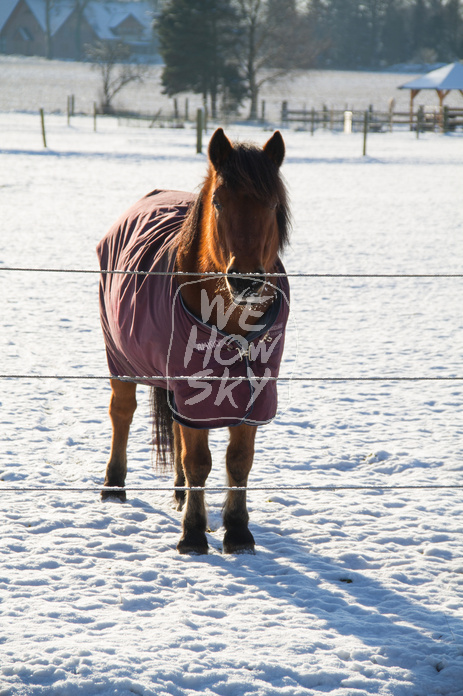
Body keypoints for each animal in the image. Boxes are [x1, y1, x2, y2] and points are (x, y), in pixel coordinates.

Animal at [96, 129, 292, 556]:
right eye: (219, 201)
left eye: (272, 204)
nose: (246, 280)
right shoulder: (193, 389)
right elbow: (199, 459)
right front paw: (193, 534)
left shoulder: (255, 393)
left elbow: (239, 460)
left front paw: (238, 531)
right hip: (119, 356)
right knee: (122, 413)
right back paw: (114, 486)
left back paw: (180, 492)